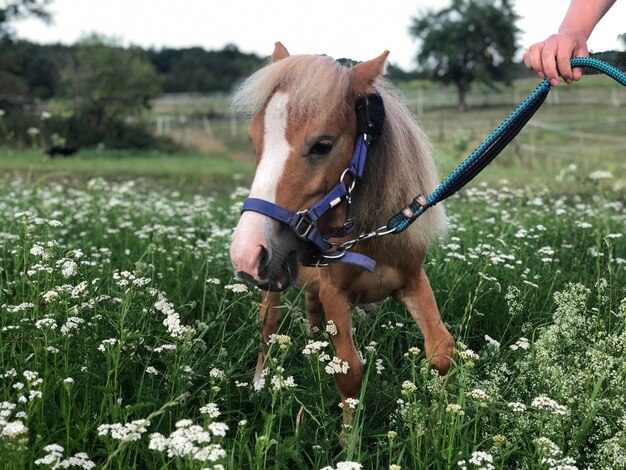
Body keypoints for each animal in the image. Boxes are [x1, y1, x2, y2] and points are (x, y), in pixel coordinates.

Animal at [229, 43, 454, 426]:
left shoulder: (412, 282)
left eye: (322, 144)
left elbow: (441, 349)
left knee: (311, 319)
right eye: (253, 141)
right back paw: (259, 382)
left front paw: (437, 423)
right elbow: (349, 371)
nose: (246, 253)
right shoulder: (336, 294)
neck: (373, 237)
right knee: (267, 324)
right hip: (272, 285)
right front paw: (349, 437)